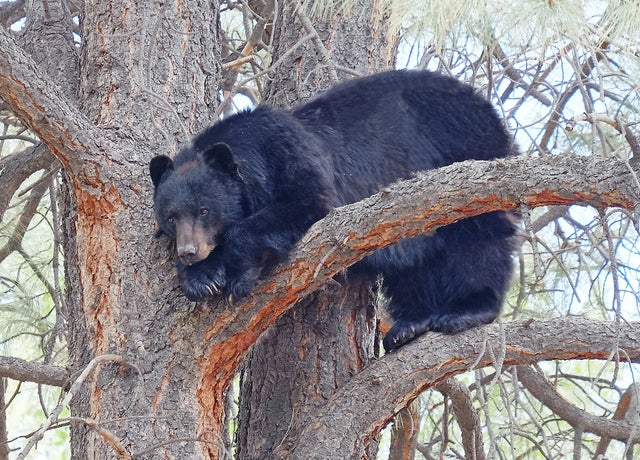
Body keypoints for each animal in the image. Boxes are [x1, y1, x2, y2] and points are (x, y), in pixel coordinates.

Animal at [150, 70, 519, 352]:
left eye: (204, 210)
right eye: (171, 217)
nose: (188, 252)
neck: (252, 148)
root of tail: (490, 111)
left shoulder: (289, 157)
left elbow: (304, 204)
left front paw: (238, 275)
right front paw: (202, 278)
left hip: (464, 167)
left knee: (477, 242)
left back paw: (465, 310)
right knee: (417, 267)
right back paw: (410, 325)